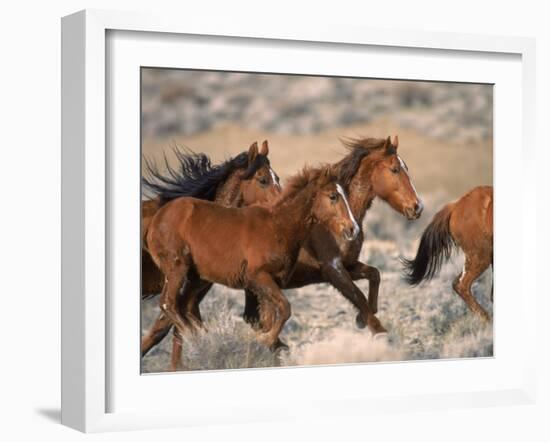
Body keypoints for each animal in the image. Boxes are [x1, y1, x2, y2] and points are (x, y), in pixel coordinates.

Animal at [140, 142, 282, 356]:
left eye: (278, 178)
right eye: (263, 180)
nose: (282, 205)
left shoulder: (197, 288)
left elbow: (172, 331)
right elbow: (166, 329)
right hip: (176, 270)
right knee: (167, 304)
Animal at [147, 167, 362, 368]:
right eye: (333, 196)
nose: (353, 229)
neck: (278, 227)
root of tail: (157, 218)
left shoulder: (270, 285)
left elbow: (271, 317)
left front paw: (269, 345)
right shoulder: (257, 277)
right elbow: (285, 308)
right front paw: (264, 339)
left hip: (196, 277)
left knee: (184, 307)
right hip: (178, 268)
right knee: (168, 304)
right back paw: (202, 339)